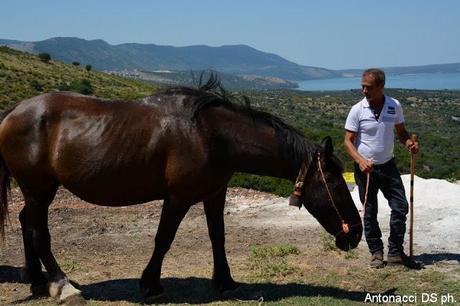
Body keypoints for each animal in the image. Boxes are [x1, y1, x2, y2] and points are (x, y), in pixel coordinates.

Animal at [0, 79, 362, 304]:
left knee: (26, 222)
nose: (355, 233)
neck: (212, 135)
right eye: (334, 182)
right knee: (38, 232)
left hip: (38, 191)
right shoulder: (178, 198)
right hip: (39, 189)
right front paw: (151, 284)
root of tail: (14, 111)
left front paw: (225, 282)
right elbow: (164, 239)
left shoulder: (215, 193)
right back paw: (63, 286)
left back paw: (37, 280)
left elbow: (218, 236)